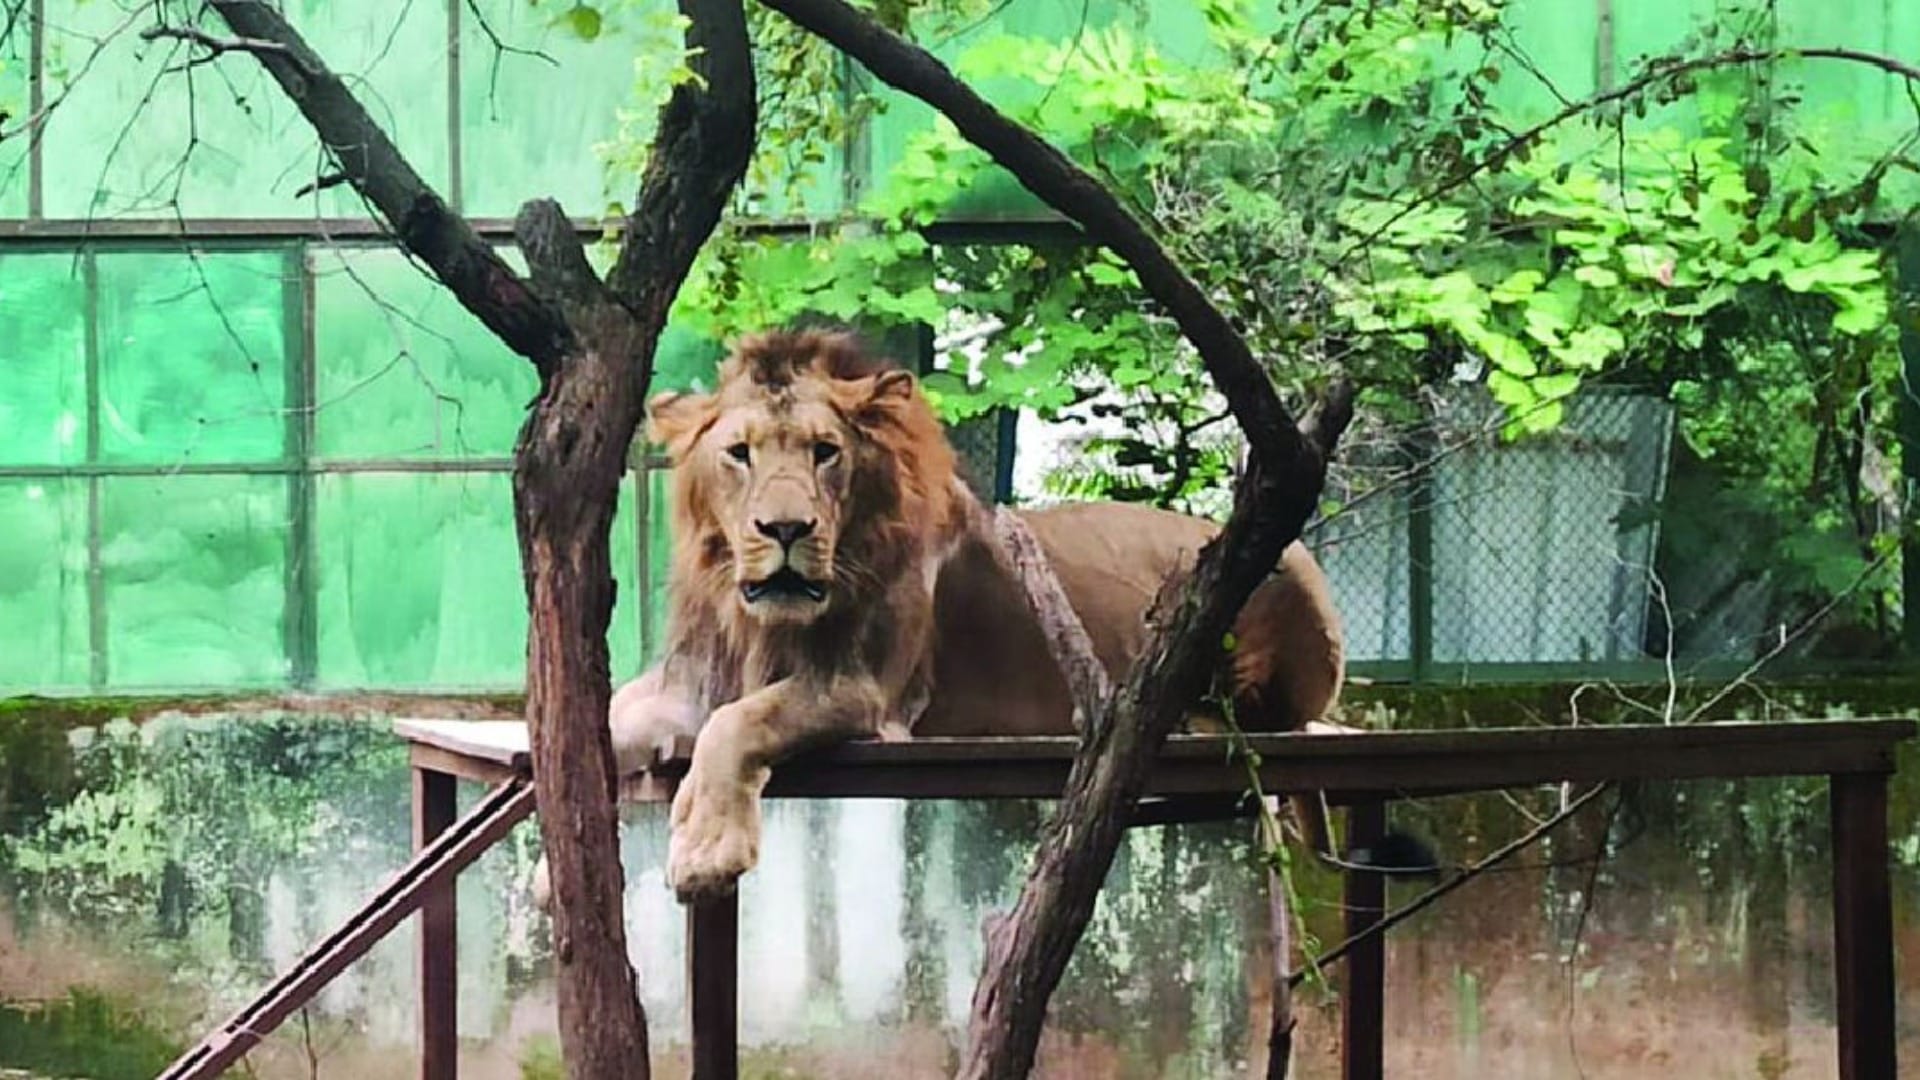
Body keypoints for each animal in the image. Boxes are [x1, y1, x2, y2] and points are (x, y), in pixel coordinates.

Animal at [536, 328, 1391, 907]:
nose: (785, 529)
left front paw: (706, 849)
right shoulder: (686, 683)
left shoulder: (868, 694)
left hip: (1287, 576)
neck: (758, 618)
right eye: (739, 454)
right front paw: (561, 863)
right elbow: (601, 728)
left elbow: (737, 724)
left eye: (823, 452)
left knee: (1275, 719)